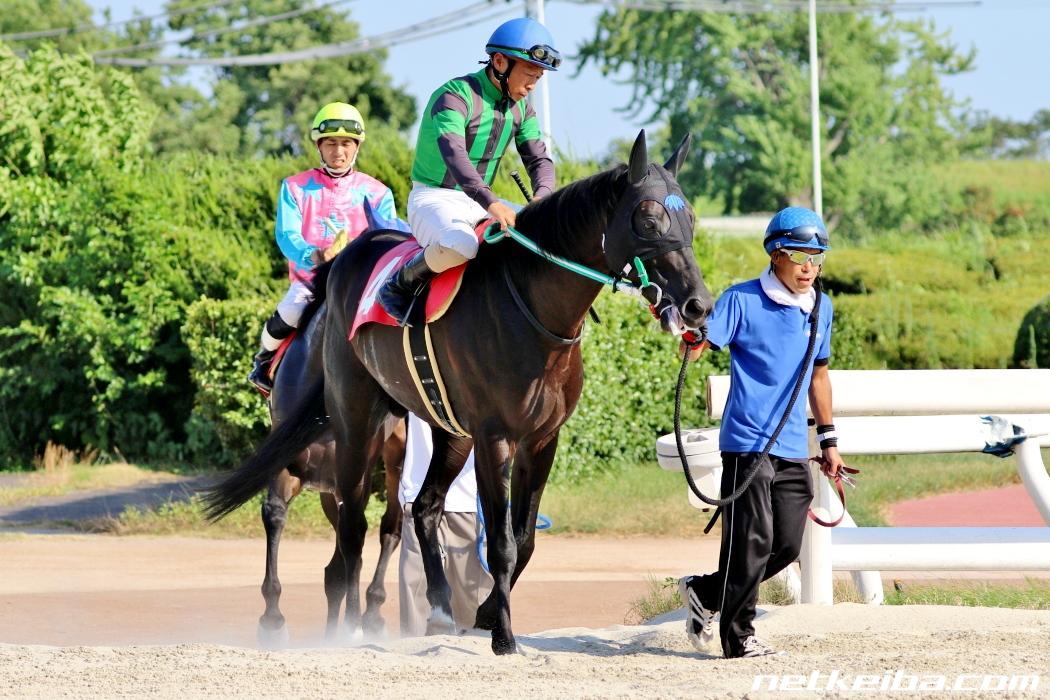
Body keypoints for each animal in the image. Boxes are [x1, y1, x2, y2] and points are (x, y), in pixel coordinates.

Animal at [250, 265, 407, 646]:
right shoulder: (296, 468)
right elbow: (274, 514)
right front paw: (272, 619)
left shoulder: (354, 476)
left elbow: (357, 542)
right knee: (340, 563)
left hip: (395, 457)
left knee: (390, 528)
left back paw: (372, 611)